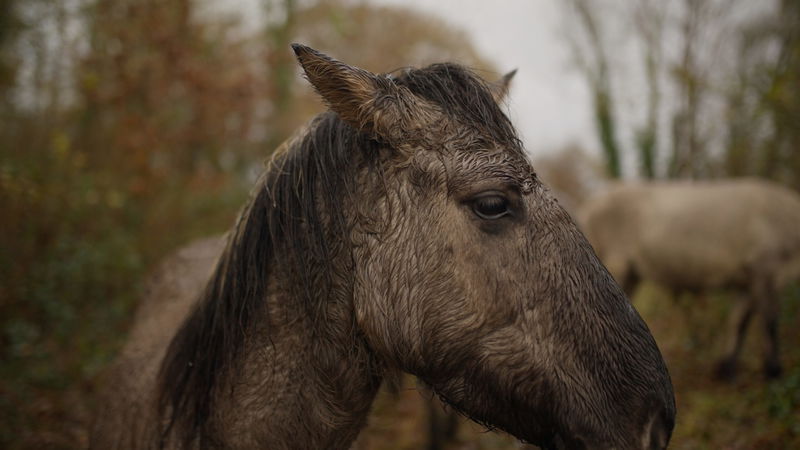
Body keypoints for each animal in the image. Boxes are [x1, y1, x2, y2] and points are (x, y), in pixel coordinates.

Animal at [578, 178, 800, 380]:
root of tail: (590, 205)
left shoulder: (746, 281)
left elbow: (739, 322)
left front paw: (726, 368)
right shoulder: (765, 270)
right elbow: (770, 322)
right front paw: (773, 370)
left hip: (630, 272)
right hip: (616, 263)